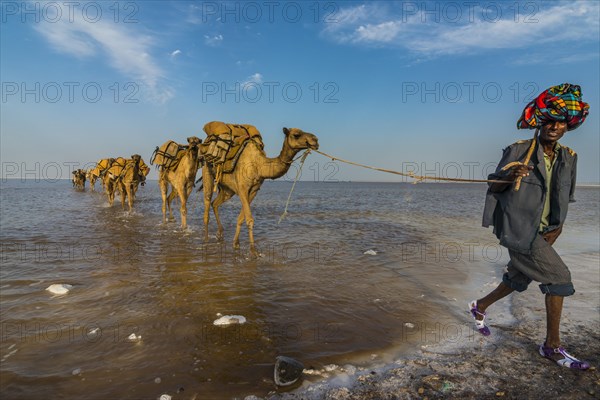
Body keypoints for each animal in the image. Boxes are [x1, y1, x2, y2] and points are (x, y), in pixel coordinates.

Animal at [203, 126, 318, 255]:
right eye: (296, 135)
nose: (315, 140)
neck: (259, 165)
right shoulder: (243, 188)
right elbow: (249, 219)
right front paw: (253, 251)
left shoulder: (253, 191)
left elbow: (241, 218)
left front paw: (236, 244)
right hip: (207, 171)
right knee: (207, 205)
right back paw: (206, 239)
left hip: (228, 189)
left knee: (215, 203)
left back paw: (220, 234)